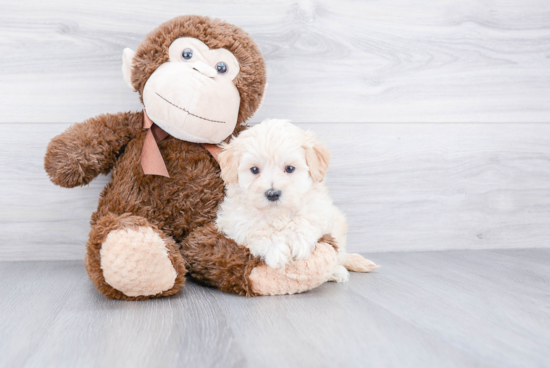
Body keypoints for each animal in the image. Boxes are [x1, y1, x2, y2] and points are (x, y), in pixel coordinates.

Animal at [216, 118, 380, 282]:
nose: (272, 194)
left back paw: (337, 271)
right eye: (254, 170)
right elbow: (255, 229)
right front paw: (275, 247)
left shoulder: (319, 208)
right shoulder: (233, 221)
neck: (277, 214)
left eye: (289, 168)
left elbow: (305, 218)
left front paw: (297, 239)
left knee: (339, 256)